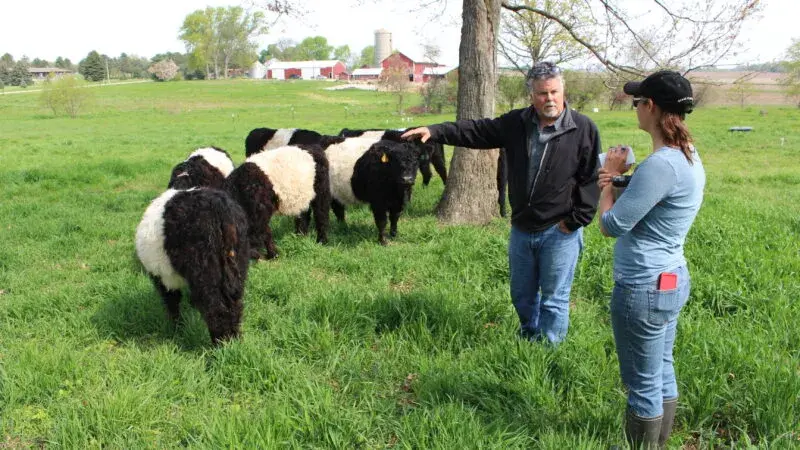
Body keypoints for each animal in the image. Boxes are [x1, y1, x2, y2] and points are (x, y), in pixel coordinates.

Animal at [134, 186, 248, 344]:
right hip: (236, 265)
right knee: (234, 303)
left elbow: (172, 303)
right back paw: (234, 340)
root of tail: (218, 206)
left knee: (215, 307)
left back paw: (220, 343)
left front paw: (176, 328)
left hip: (204, 270)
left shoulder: (162, 279)